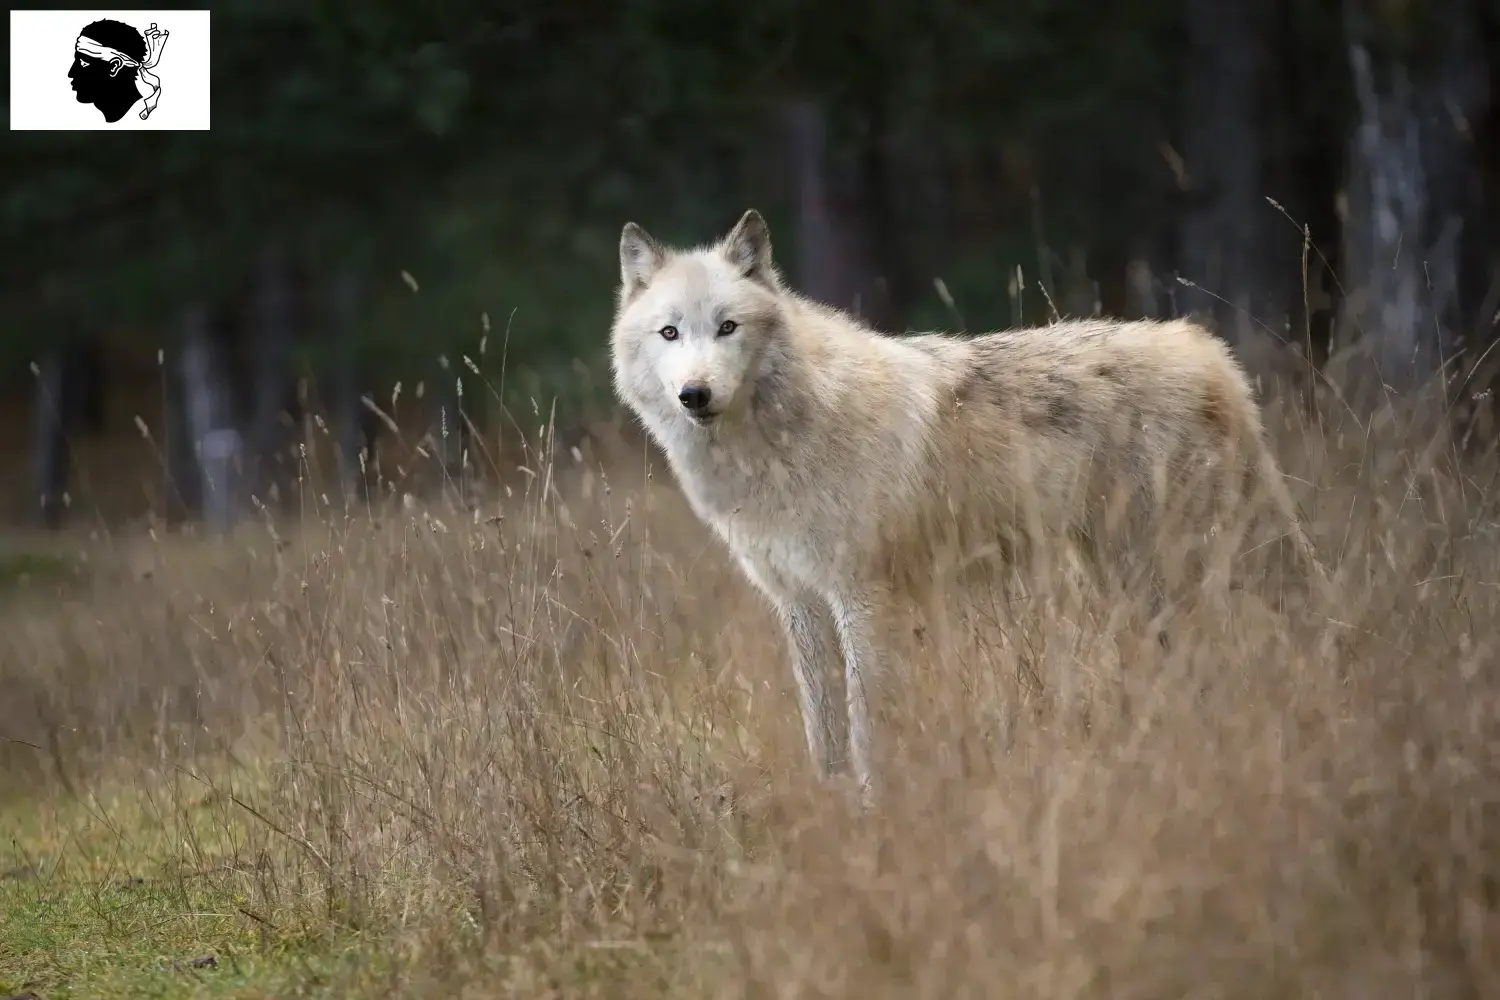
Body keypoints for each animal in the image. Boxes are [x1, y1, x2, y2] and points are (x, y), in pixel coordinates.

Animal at [609, 206, 1338, 803]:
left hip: (1178, 567)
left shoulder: (865, 601)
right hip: (1127, 577)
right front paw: (832, 807)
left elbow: (866, 724)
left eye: (727, 328)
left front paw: (874, 812)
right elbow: (823, 728)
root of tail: (1211, 353)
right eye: (670, 333)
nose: (695, 395)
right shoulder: (801, 605)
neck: (777, 440)